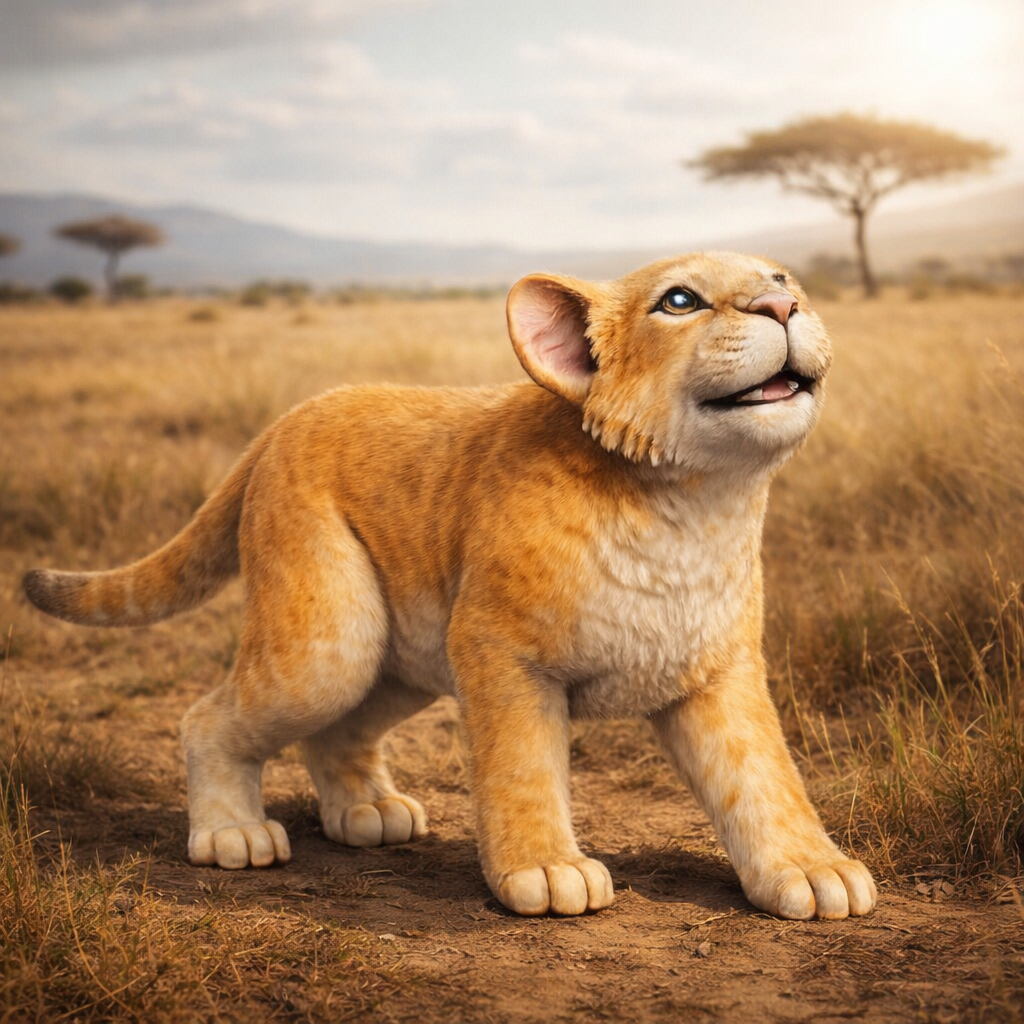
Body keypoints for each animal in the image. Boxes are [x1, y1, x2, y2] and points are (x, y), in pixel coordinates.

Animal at [24, 251, 876, 920]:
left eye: (782, 277)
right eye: (680, 301)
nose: (783, 306)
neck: (692, 507)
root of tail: (285, 420)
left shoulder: (717, 671)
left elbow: (762, 775)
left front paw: (813, 872)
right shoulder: (502, 652)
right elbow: (523, 769)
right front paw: (547, 872)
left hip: (402, 655)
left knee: (339, 730)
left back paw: (367, 812)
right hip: (328, 642)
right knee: (212, 717)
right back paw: (232, 832)